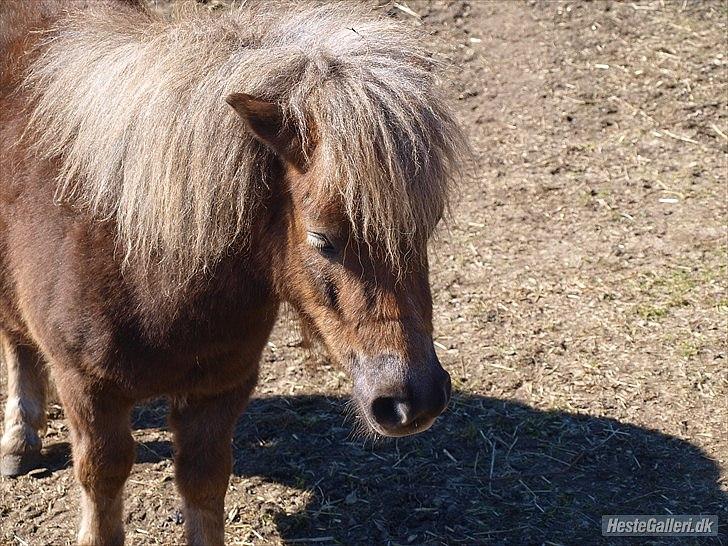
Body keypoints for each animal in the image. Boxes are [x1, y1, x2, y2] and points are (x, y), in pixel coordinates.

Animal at [0, 1, 466, 540]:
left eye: (428, 224)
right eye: (323, 239)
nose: (415, 400)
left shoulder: (221, 386)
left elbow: (204, 483)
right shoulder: (87, 388)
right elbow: (102, 482)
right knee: (16, 343)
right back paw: (19, 438)